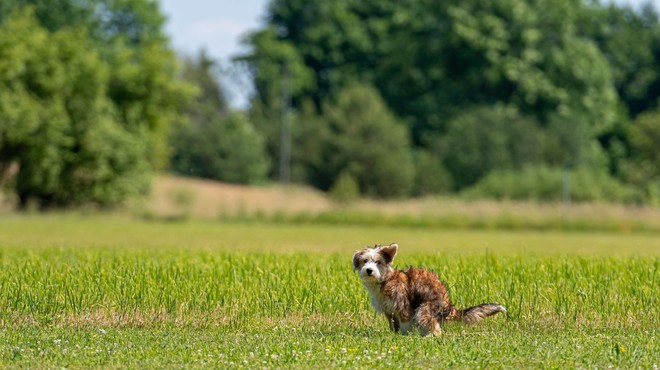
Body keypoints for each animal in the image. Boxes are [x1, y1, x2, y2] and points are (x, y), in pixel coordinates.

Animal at [356, 243, 506, 336]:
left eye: (378, 262)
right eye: (365, 261)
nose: (369, 270)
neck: (385, 280)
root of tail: (449, 305)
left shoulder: (403, 306)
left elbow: (405, 323)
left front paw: (404, 336)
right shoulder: (389, 310)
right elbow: (394, 324)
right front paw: (394, 335)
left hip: (425, 309)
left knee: (435, 328)